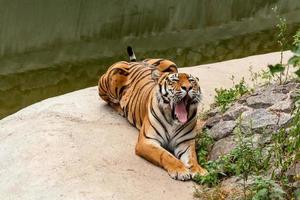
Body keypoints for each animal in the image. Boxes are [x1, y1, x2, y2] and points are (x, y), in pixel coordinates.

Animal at [97, 47, 207, 181]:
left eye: (192, 81)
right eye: (174, 81)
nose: (188, 87)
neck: (173, 121)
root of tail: (137, 62)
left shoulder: (185, 142)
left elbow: (192, 157)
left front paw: (199, 170)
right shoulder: (147, 141)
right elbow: (165, 154)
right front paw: (180, 170)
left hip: (170, 63)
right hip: (112, 74)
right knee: (109, 100)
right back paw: (120, 107)